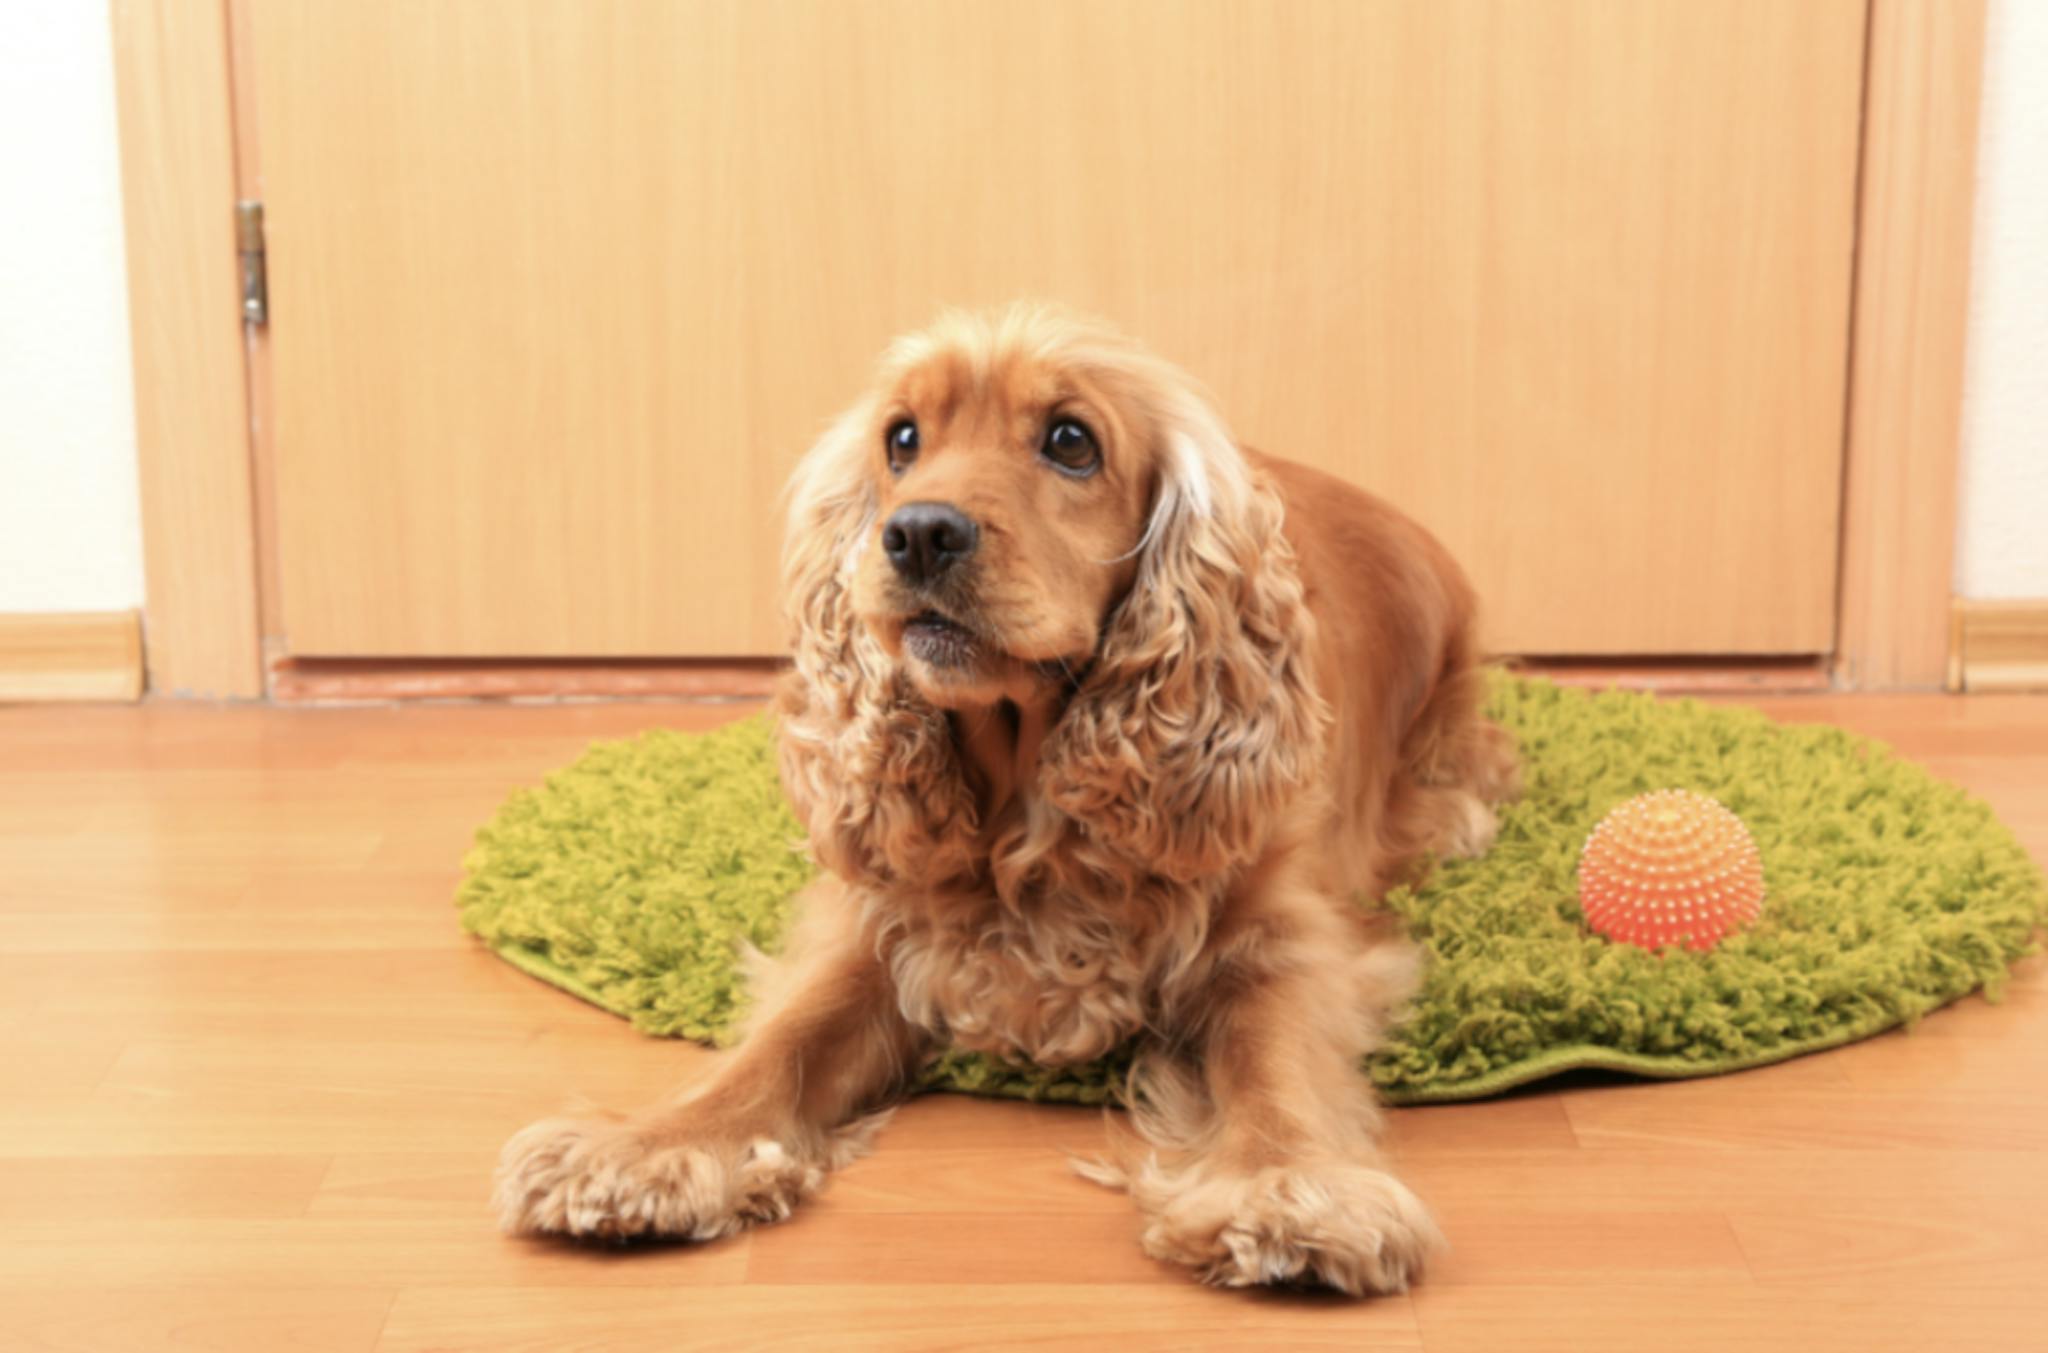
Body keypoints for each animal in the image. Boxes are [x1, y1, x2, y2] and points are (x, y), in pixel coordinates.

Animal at [495, 300, 1523, 1293]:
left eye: (1071, 440)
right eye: (902, 439)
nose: (917, 532)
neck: (1029, 797)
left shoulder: (1285, 929)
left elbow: (1275, 1060)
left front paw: (1286, 1189)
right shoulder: (871, 925)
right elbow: (781, 1041)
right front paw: (648, 1148)